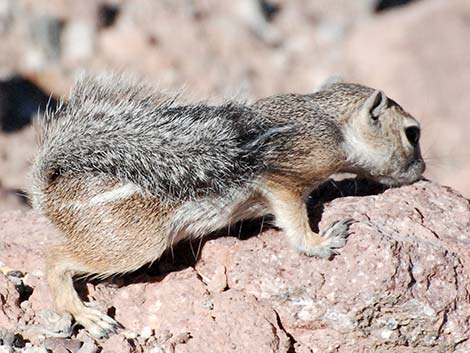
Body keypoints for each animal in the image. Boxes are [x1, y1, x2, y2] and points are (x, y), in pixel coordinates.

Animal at [30, 73, 426, 336]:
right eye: (413, 133)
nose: (423, 169)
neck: (330, 120)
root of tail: (49, 189)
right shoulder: (285, 179)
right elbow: (294, 219)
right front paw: (322, 241)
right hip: (131, 243)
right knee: (55, 259)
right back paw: (87, 315)